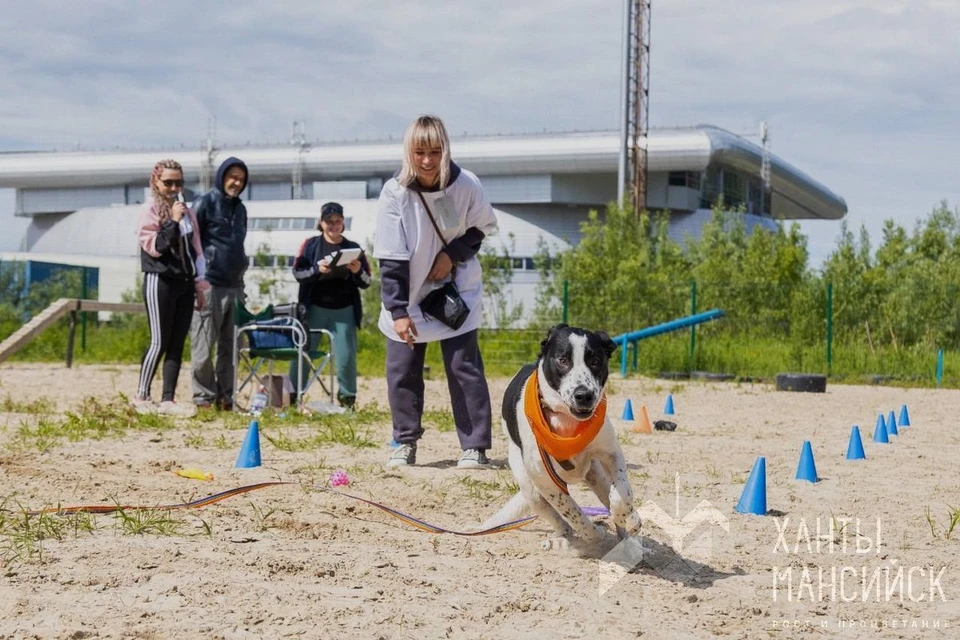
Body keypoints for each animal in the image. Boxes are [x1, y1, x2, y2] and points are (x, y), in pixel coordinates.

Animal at [480, 324, 644, 552]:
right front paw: (595, 533)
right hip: (531, 488)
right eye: (563, 360)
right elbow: (575, 514)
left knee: (607, 494)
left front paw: (625, 515)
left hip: (596, 475)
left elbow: (622, 493)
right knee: (562, 523)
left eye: (595, 360)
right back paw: (560, 540)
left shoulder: (611, 452)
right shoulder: (546, 482)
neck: (566, 420)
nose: (584, 396)